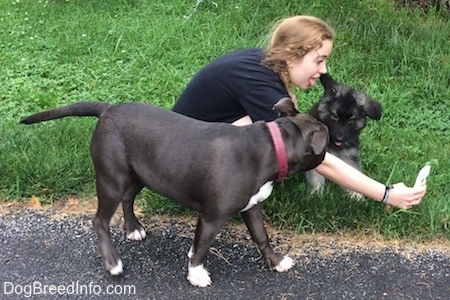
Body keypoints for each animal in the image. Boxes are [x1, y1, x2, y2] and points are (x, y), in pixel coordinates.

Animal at [19, 98, 328, 286]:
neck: (272, 145)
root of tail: (108, 109)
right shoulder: (213, 216)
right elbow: (202, 246)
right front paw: (196, 274)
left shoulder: (251, 207)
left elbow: (262, 237)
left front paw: (276, 263)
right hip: (111, 178)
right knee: (100, 220)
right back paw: (113, 262)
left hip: (142, 173)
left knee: (128, 199)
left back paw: (133, 228)